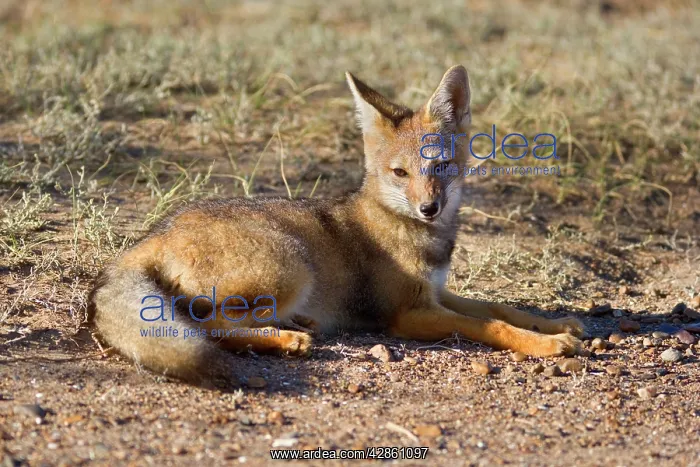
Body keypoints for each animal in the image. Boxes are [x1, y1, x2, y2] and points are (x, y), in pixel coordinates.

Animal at [88, 65, 584, 381]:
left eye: (440, 166)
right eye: (400, 173)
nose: (430, 208)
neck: (415, 232)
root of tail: (158, 230)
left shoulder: (438, 293)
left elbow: (500, 308)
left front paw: (555, 324)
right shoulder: (408, 314)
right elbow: (491, 326)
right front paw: (546, 344)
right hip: (291, 268)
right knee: (205, 325)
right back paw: (285, 340)